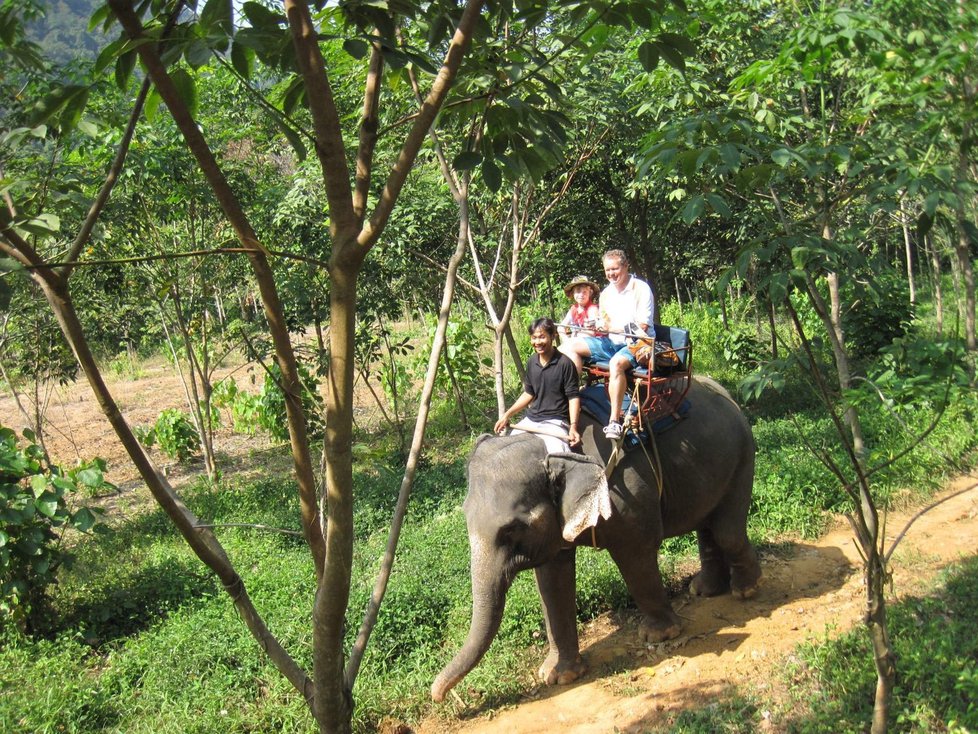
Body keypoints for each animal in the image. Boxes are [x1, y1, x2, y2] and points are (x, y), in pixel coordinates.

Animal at [430, 376, 760, 704]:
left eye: (511, 529)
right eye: (465, 516)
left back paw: (745, 590)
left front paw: (659, 636)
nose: (439, 695)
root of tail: (726, 394)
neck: (554, 448)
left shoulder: (627, 496)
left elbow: (636, 554)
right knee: (708, 524)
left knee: (727, 531)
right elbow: (552, 579)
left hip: (742, 455)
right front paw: (558, 676)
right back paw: (704, 590)